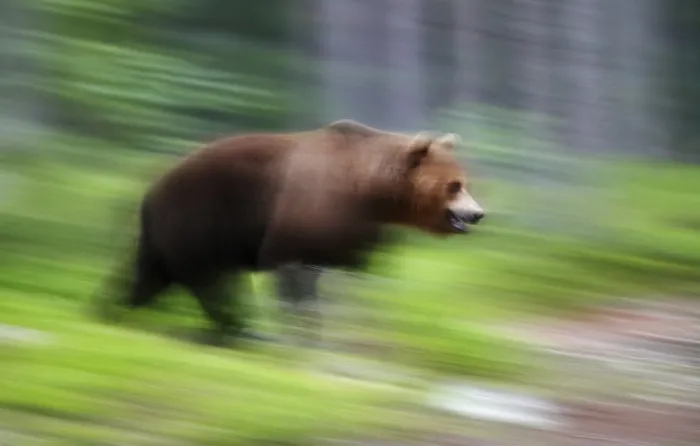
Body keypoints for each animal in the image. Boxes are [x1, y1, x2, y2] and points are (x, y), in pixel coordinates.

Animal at [96, 119, 485, 346]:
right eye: (454, 185)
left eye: (463, 181)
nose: (478, 214)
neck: (370, 191)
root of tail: (150, 189)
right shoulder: (305, 214)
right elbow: (295, 276)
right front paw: (302, 331)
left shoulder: (354, 230)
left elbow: (353, 273)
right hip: (201, 218)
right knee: (209, 281)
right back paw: (236, 327)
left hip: (181, 234)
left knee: (147, 275)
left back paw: (114, 311)